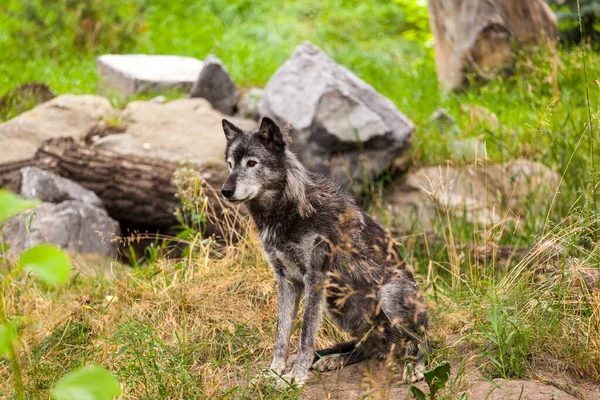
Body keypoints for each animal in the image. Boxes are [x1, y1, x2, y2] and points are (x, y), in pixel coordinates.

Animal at [220, 117, 426, 386]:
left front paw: (295, 377)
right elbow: (281, 335)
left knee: (422, 341)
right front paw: (275, 372)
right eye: (230, 164)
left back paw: (417, 366)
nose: (225, 190)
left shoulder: (314, 279)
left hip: (387, 297)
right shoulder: (286, 281)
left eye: (252, 163)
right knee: (370, 346)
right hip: (335, 304)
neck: (286, 211)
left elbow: (305, 336)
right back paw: (335, 359)